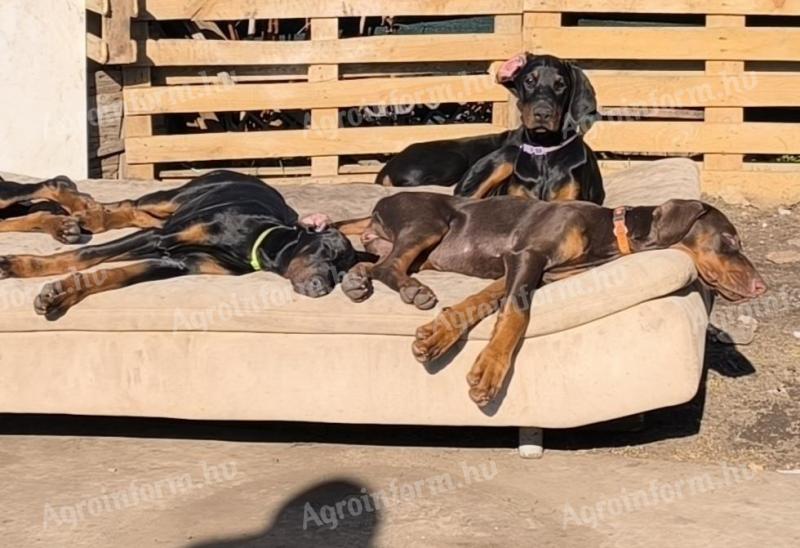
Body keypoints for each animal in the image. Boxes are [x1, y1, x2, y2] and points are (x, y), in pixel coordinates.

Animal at [334, 194, 764, 406]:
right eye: (730, 240)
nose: (762, 286)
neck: (610, 234)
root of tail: (375, 210)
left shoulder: (525, 266)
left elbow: (486, 300)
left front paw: (440, 332)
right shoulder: (528, 255)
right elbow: (516, 315)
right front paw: (489, 371)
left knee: (377, 263)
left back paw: (358, 279)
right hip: (429, 222)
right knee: (391, 266)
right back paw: (411, 289)